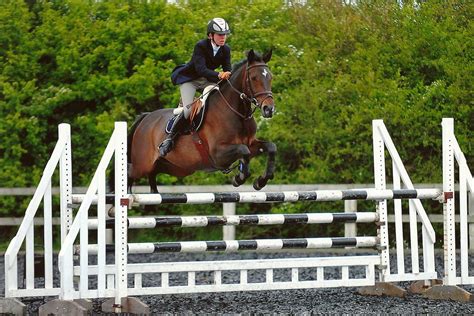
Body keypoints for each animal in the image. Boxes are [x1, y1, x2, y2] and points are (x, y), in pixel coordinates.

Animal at [120, 49, 276, 193]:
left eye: (270, 77)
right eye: (254, 78)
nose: (269, 109)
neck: (237, 113)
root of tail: (145, 118)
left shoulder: (250, 143)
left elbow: (270, 147)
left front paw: (260, 181)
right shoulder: (218, 154)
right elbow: (244, 151)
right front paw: (239, 178)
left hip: (171, 167)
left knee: (152, 180)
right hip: (142, 164)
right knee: (129, 172)